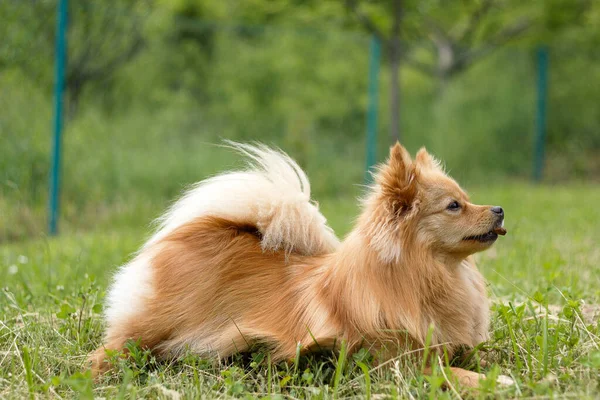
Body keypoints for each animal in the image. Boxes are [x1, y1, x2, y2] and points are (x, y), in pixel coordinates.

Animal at [91, 141, 508, 388]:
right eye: (454, 206)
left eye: (467, 198)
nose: (499, 208)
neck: (428, 275)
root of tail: (196, 230)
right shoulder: (400, 364)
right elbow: (455, 374)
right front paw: (497, 384)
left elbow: (482, 358)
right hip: (148, 331)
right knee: (108, 352)